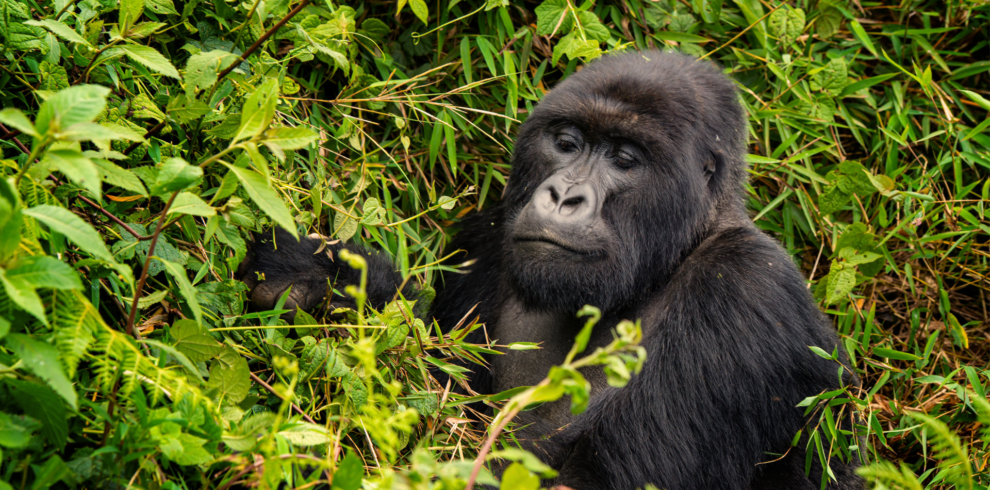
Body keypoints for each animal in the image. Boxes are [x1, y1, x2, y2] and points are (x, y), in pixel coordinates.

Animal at [238, 50, 860, 490]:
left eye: (624, 159)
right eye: (566, 142)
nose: (562, 196)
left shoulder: (745, 292)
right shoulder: (491, 234)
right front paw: (330, 279)